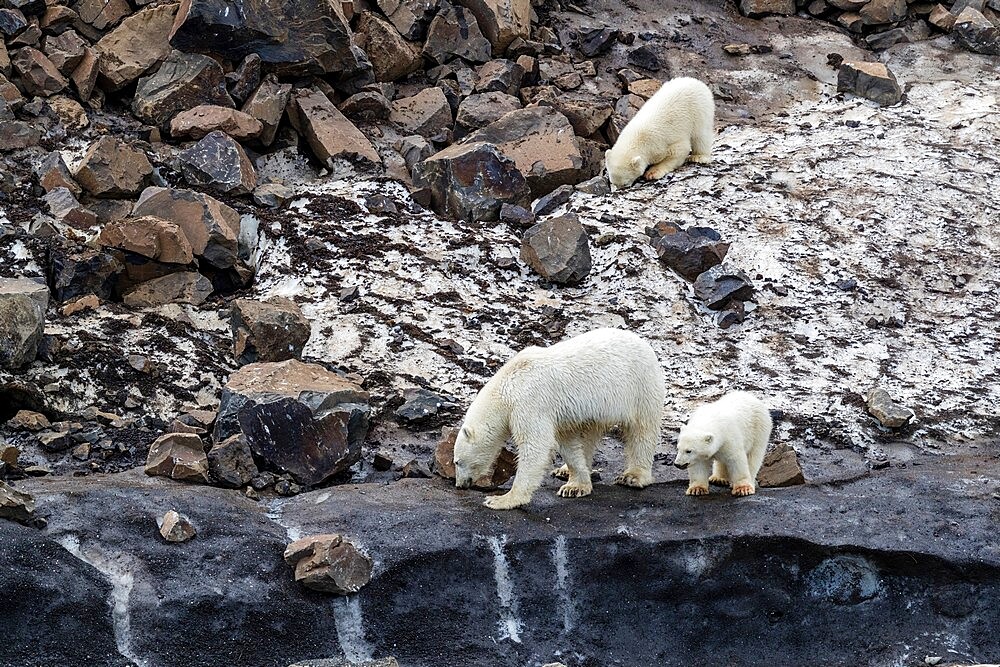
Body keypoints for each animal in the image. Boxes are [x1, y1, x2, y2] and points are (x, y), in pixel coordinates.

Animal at [454, 328, 664, 512]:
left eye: (457, 462)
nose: (459, 484)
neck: (507, 386)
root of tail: (644, 343)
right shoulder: (557, 413)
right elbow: (567, 442)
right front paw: (575, 486)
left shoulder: (529, 402)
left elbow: (536, 445)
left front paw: (500, 500)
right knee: (589, 433)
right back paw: (563, 471)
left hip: (639, 387)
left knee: (642, 430)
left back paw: (633, 476)